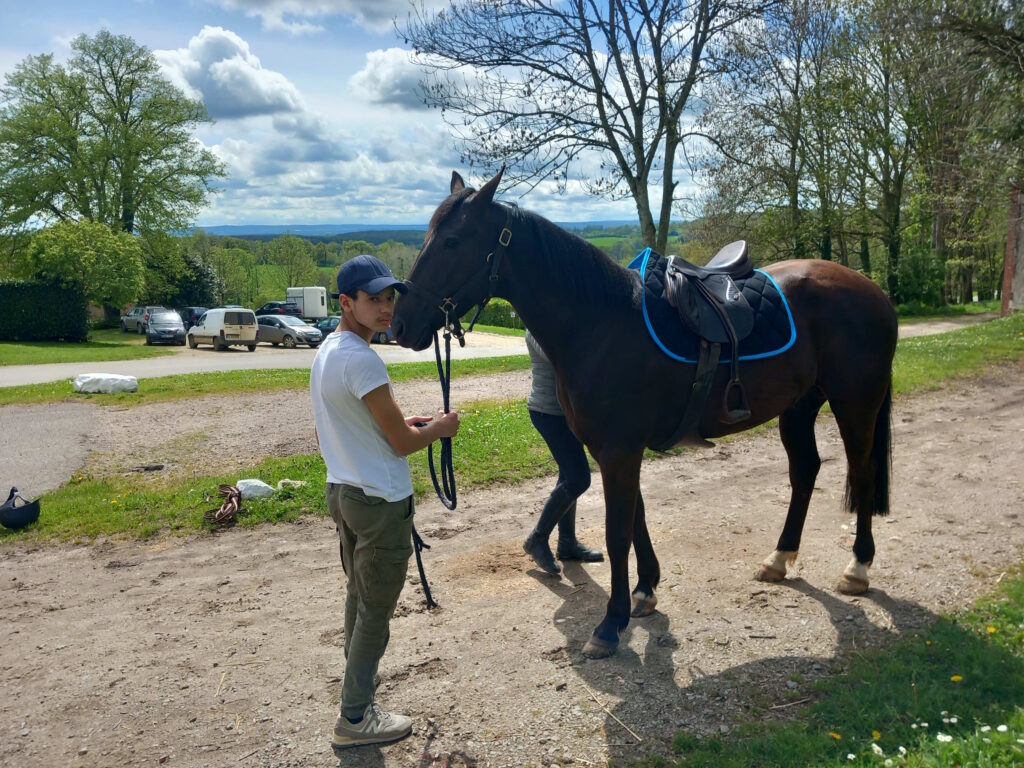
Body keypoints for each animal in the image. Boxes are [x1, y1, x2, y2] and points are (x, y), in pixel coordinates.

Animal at [391, 169, 897, 663]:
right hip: (798, 407)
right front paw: (645, 590)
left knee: (862, 473)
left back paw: (858, 567)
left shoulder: (620, 450)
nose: (399, 324)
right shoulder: (612, 449)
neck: (601, 322)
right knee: (805, 471)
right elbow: (636, 519)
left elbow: (618, 532)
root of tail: (872, 288)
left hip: (855, 404)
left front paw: (610, 624)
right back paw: (778, 559)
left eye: (452, 241)